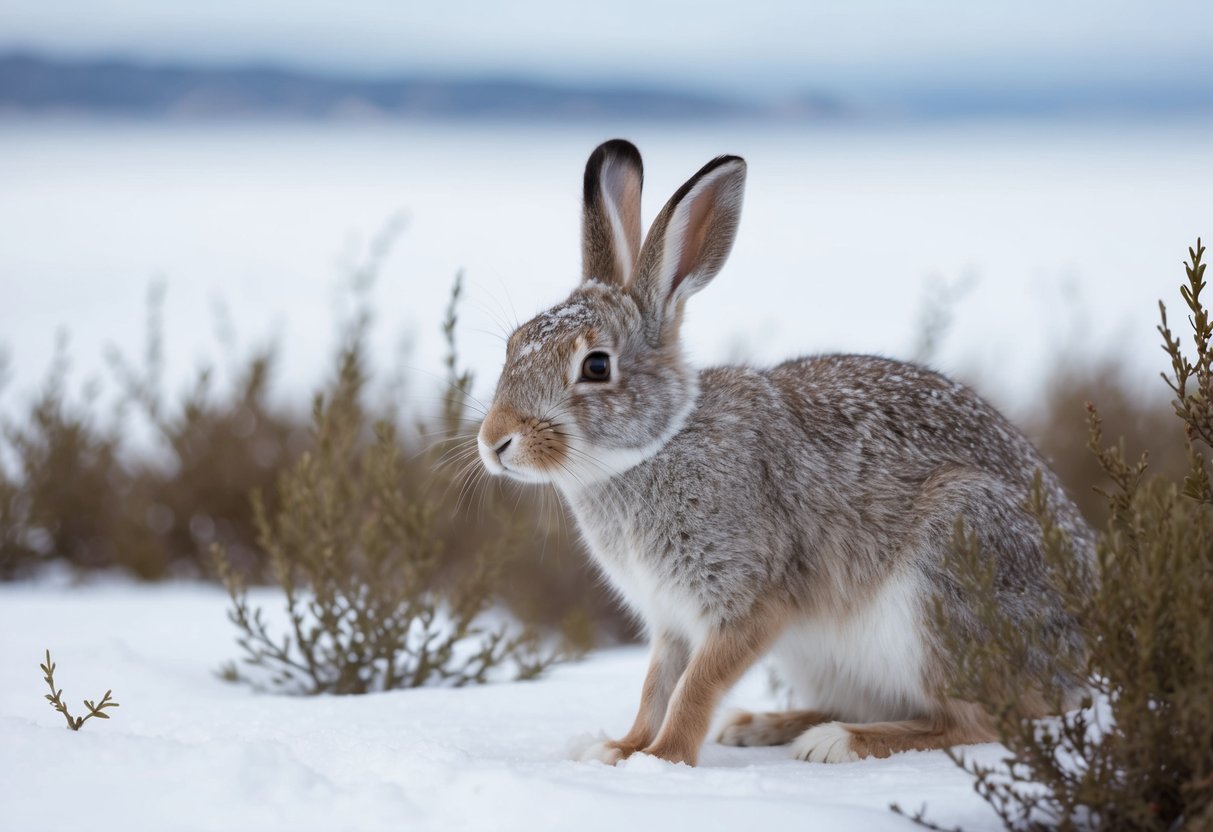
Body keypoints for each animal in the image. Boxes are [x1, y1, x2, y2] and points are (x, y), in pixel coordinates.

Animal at [476, 139, 1094, 766]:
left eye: (596, 366)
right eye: (514, 344)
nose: (494, 441)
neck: (655, 446)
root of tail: (1074, 663)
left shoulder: (750, 600)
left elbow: (695, 687)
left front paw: (664, 757)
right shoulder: (670, 620)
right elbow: (657, 684)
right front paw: (619, 750)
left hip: (947, 580)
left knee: (977, 721)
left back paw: (838, 742)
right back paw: (763, 725)